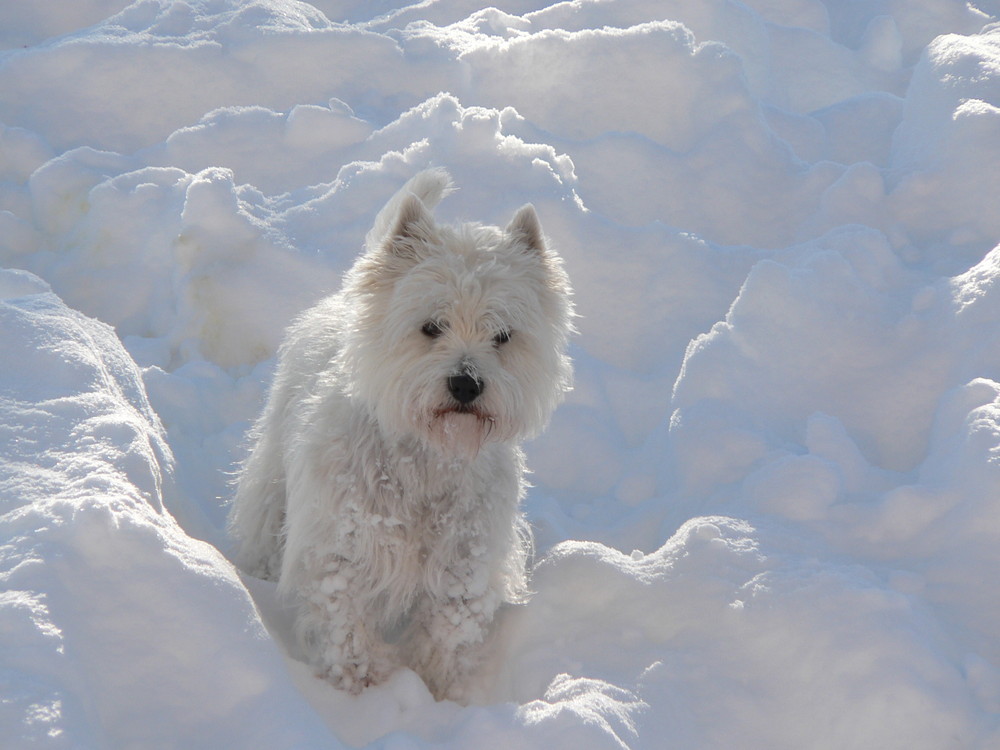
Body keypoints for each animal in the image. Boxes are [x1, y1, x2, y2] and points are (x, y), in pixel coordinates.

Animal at [228, 167, 572, 704]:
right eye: (431, 326)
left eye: (503, 335)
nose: (466, 384)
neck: (427, 455)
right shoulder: (343, 544)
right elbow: (345, 620)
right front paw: (362, 687)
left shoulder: (465, 559)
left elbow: (449, 626)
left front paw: (438, 688)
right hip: (272, 467)